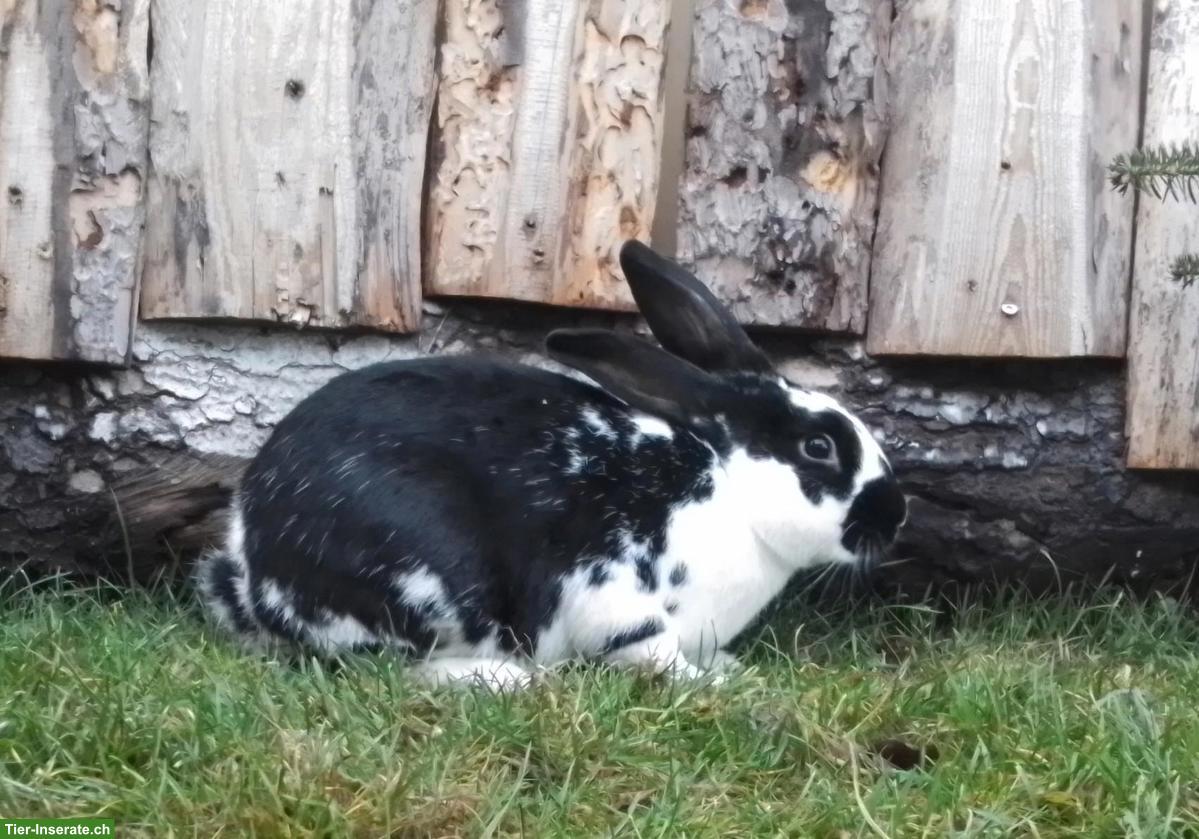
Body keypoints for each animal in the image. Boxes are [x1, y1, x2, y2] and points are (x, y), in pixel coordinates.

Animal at [194, 240, 907, 689]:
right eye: (819, 448)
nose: (896, 515)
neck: (730, 491)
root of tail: (251, 564)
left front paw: (728, 668)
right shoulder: (615, 595)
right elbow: (652, 651)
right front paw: (719, 685)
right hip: (431, 571)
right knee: (381, 665)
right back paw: (501, 680)